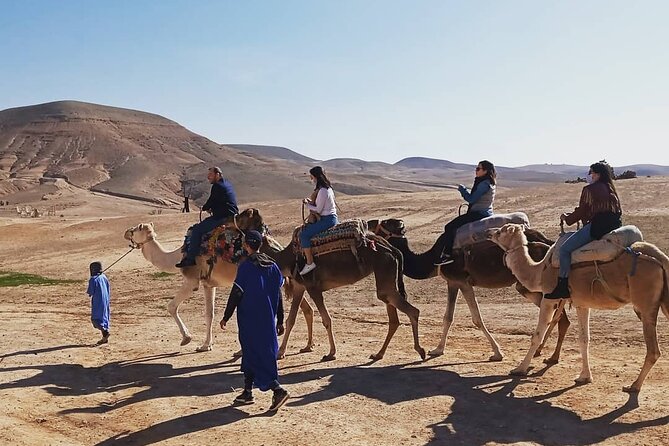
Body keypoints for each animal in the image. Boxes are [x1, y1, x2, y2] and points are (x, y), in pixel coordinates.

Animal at [123, 211, 316, 354]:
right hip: (285, 280)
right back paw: (307, 345)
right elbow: (210, 314)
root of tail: (277, 246)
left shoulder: (192, 280)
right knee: (305, 308)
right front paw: (205, 345)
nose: (126, 233)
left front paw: (186, 338)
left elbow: (171, 306)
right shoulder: (209, 284)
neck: (178, 257)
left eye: (136, 228)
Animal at [368, 219, 568, 362]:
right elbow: (448, 317)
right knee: (561, 317)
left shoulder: (463, 282)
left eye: (385, 223)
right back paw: (549, 355)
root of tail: (548, 242)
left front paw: (497, 353)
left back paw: (548, 355)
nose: (369, 227)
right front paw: (438, 349)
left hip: (531, 283)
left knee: (558, 314)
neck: (433, 260)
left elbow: (477, 318)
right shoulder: (453, 282)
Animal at [486, 225, 668, 392]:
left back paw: (634, 386)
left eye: (500, 232)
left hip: (644, 305)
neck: (539, 271)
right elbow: (584, 339)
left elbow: (536, 336)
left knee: (653, 350)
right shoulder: (582, 303)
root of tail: (659, 258)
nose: (488, 232)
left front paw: (520, 369)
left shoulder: (549, 298)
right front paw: (584, 377)